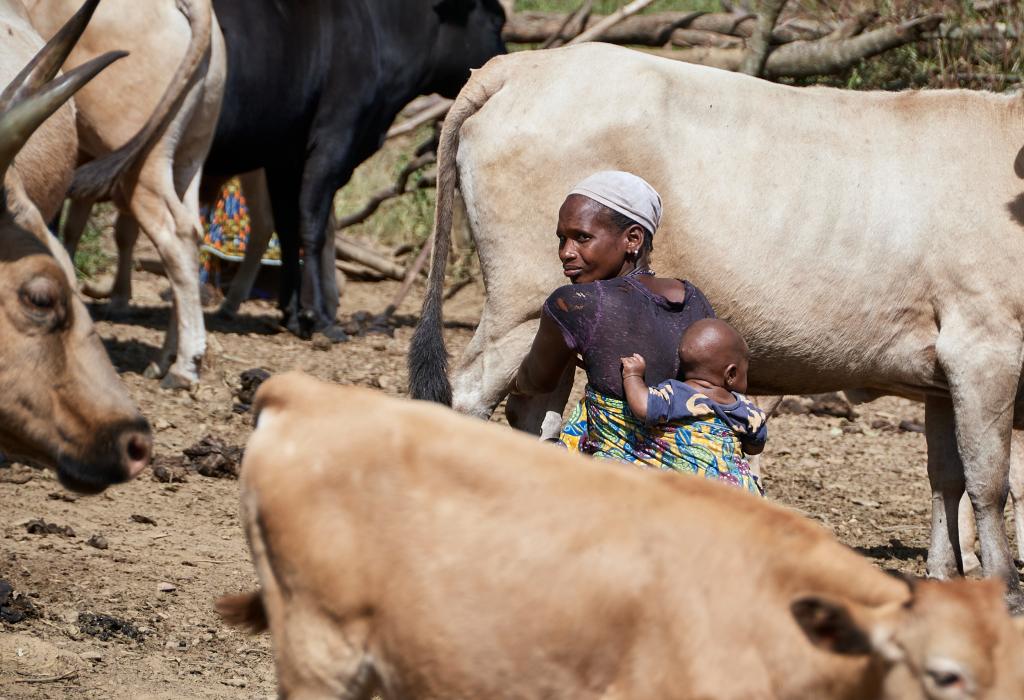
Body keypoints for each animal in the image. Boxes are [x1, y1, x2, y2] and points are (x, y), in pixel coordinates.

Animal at [205, 0, 505, 339]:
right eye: (496, 22)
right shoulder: (333, 138)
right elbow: (312, 225)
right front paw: (318, 316)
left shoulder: (284, 156)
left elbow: (288, 227)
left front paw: (292, 313)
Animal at [407, 43, 1024, 609]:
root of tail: (519, 63)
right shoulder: (985, 346)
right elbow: (991, 479)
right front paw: (1005, 589)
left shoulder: (942, 370)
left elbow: (948, 477)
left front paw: (945, 578)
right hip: (519, 302)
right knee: (470, 395)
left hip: (551, 315)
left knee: (535, 413)